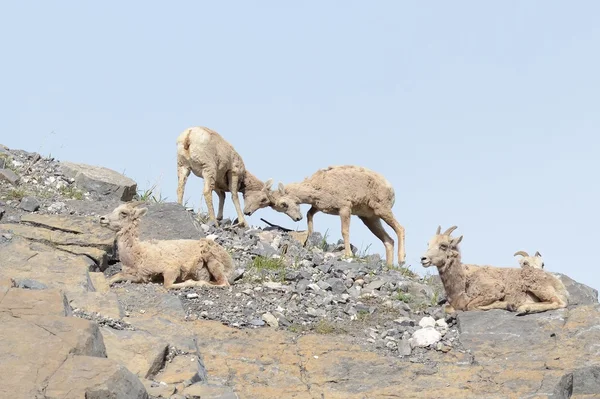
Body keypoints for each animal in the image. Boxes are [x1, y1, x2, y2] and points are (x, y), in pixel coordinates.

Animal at [98, 202, 232, 290]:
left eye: (124, 213)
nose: (102, 218)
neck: (137, 254)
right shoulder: (139, 276)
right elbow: (115, 276)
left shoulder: (171, 269)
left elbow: (167, 285)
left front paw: (193, 282)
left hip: (212, 260)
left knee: (224, 283)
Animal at [418, 225, 568, 316]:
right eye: (428, 244)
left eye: (443, 245)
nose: (423, 259)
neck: (462, 284)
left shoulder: (493, 290)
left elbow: (470, 306)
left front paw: (509, 305)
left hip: (539, 287)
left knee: (559, 303)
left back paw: (523, 308)